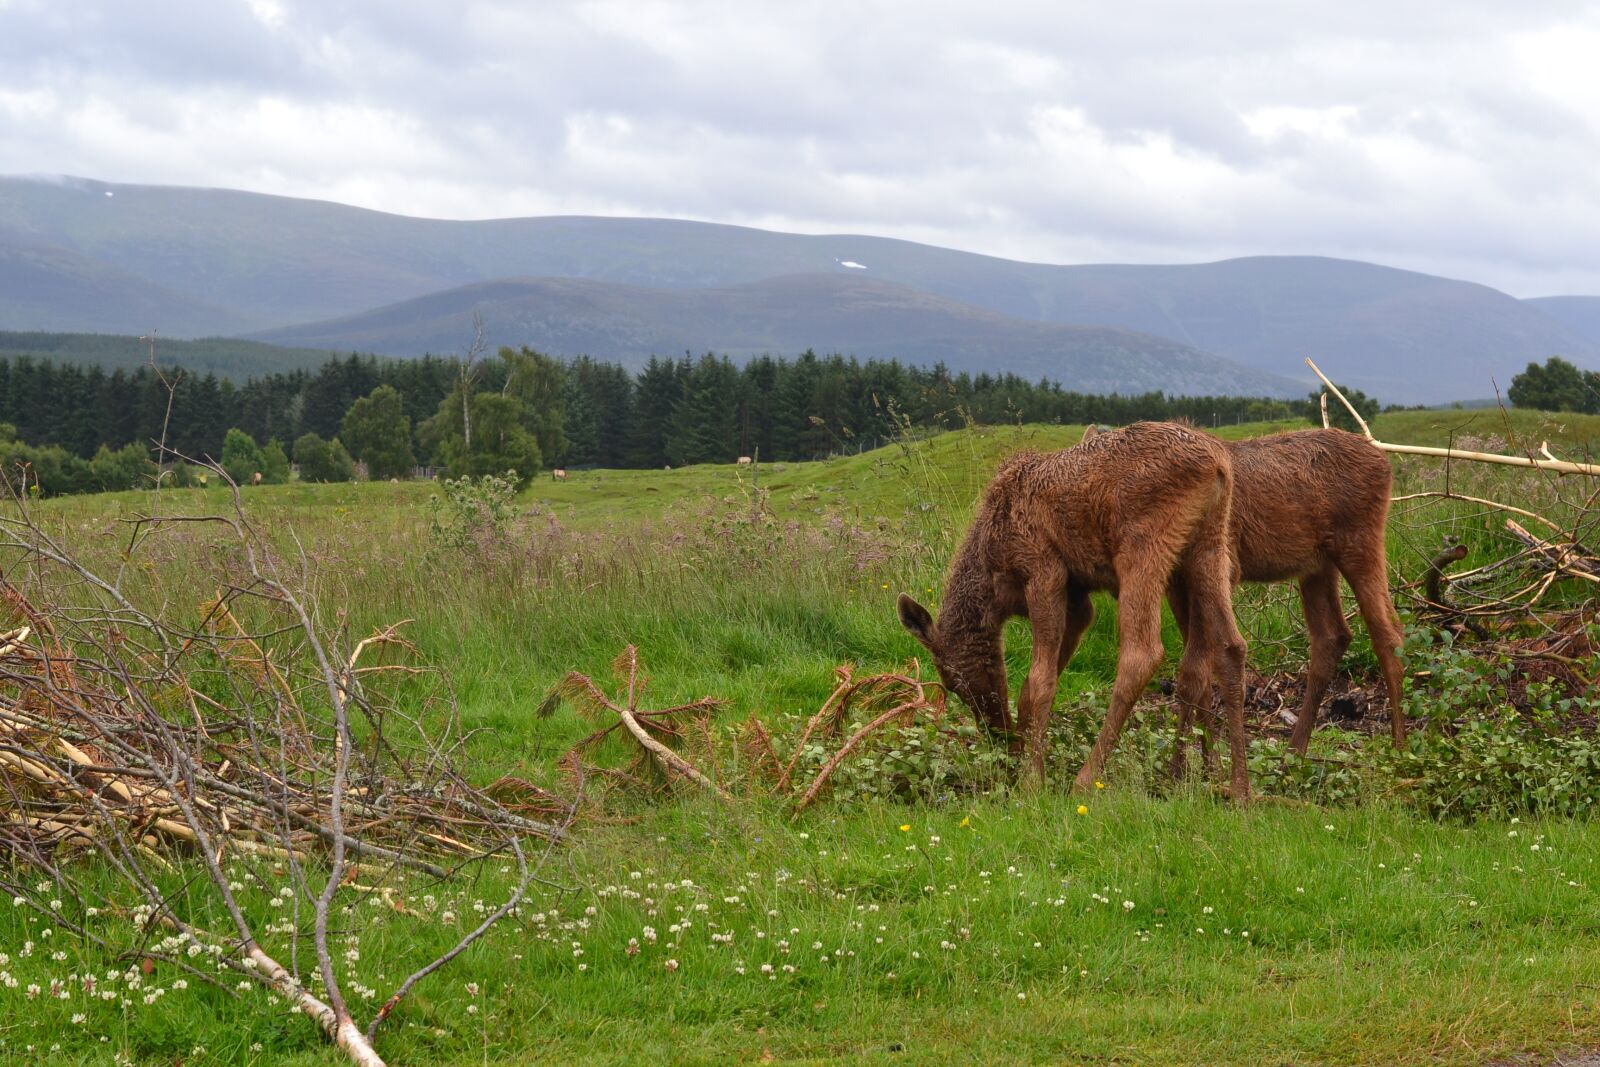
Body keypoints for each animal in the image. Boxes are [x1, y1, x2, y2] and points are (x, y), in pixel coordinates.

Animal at [897, 422, 1253, 802]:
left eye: (951, 682)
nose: (997, 733)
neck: (992, 580)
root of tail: (1217, 465)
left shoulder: (1044, 571)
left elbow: (1040, 681)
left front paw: (1031, 780)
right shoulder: (1079, 600)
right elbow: (1030, 686)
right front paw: (1020, 759)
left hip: (1143, 548)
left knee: (1143, 654)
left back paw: (1086, 778)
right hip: (1210, 547)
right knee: (1231, 646)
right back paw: (1237, 788)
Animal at [1083, 424, 1406, 757]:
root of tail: (1383, 461)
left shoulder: (1224, 569)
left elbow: (1197, 668)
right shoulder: (1177, 585)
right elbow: (1197, 671)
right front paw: (1204, 756)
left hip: (1359, 543)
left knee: (1389, 634)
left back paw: (1399, 746)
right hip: (1316, 566)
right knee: (1333, 636)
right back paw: (1294, 751)